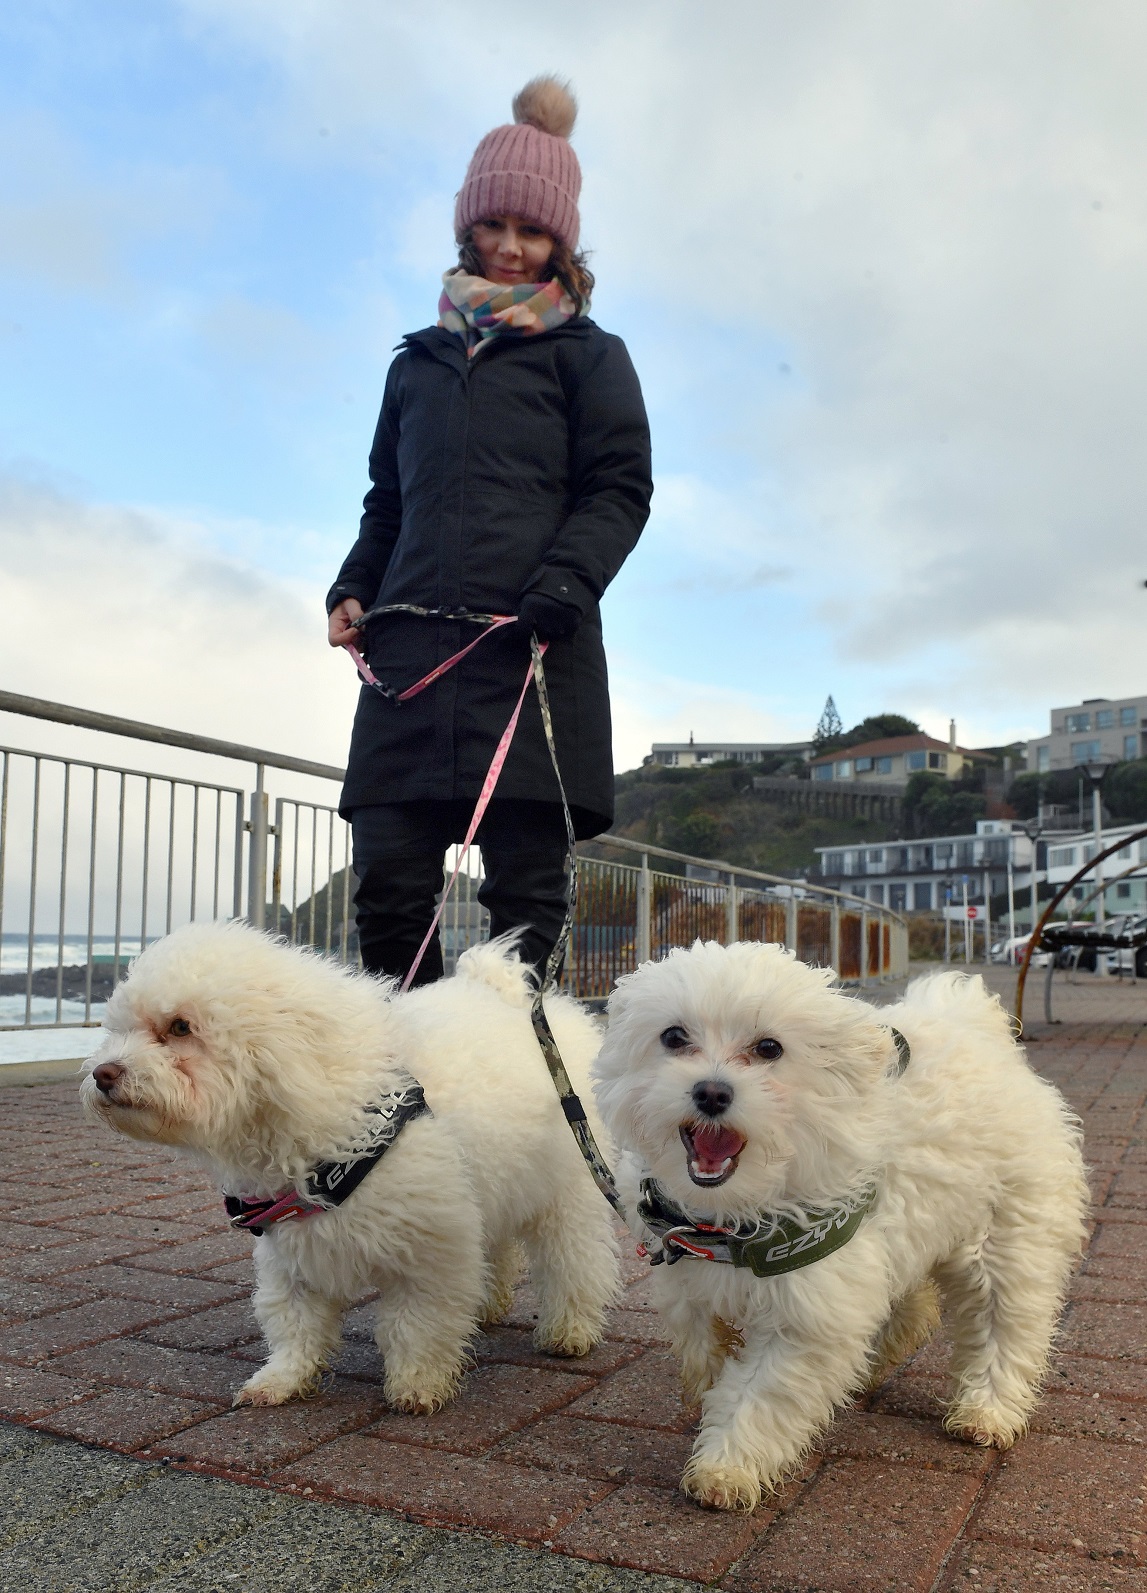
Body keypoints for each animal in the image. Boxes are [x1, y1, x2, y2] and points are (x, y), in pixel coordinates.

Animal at [80, 930, 618, 1414]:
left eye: (180, 1027)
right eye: (119, 1029)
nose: (103, 1074)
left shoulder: (429, 1251)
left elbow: (415, 1325)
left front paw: (418, 1385)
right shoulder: (291, 1254)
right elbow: (292, 1322)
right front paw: (281, 1379)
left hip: (568, 1193)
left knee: (575, 1262)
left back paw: (569, 1331)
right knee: (501, 1248)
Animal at [595, 936, 1089, 1510]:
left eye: (770, 1048)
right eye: (673, 1037)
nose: (711, 1093)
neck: (733, 1216)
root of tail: (979, 1028)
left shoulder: (808, 1314)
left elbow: (760, 1395)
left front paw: (726, 1467)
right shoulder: (691, 1289)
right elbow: (706, 1355)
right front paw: (709, 1402)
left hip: (1005, 1241)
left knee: (1005, 1325)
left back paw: (986, 1410)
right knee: (914, 1306)